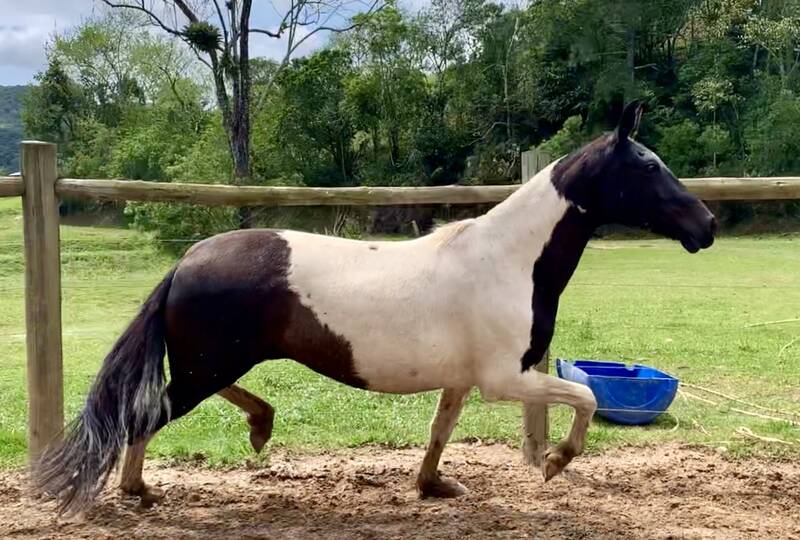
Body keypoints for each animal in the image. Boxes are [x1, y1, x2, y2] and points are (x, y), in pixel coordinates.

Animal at [32, 102, 720, 516]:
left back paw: (259, 426)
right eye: (649, 166)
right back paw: (140, 490)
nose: (707, 226)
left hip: (218, 361)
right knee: (148, 414)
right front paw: (555, 463)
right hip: (212, 364)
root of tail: (187, 260)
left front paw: (434, 487)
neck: (508, 259)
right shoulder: (506, 379)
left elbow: (440, 432)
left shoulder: (463, 380)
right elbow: (586, 397)